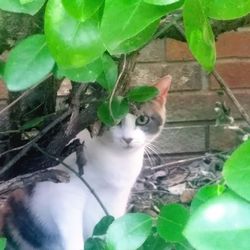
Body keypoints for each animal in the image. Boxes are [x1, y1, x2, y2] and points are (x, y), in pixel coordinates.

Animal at [0, 75, 172, 249]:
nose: (128, 139)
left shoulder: (118, 197)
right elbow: (73, 237)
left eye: (142, 119)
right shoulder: (64, 194)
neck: (116, 158)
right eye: (113, 119)